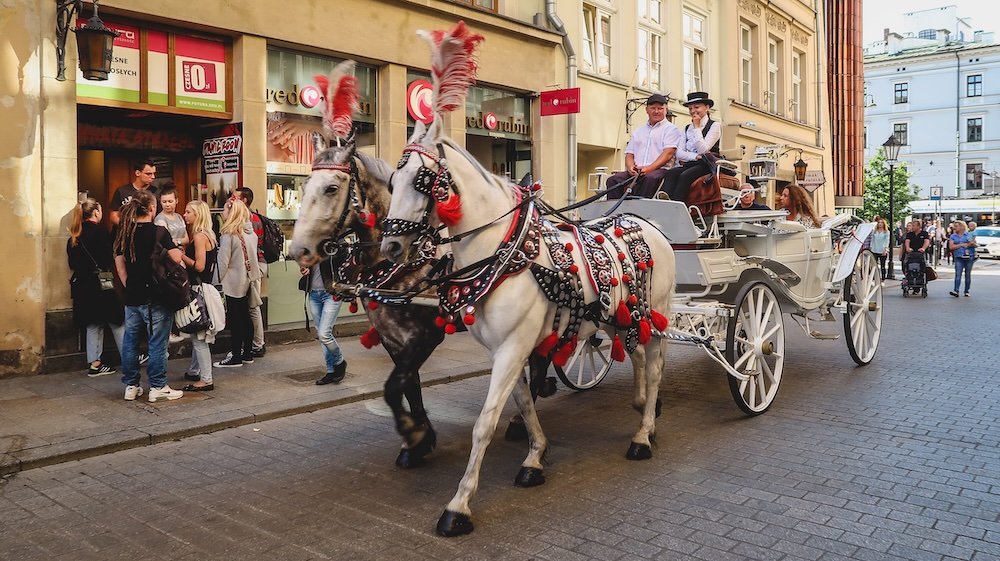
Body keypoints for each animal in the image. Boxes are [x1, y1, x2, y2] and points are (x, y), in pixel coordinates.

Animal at [378, 23, 676, 540]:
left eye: (421, 181)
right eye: (391, 182)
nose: (392, 247)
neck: (503, 251)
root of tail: (648, 221)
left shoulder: (514, 346)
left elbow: (485, 422)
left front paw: (458, 505)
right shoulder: (504, 349)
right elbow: (521, 403)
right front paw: (535, 457)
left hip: (656, 315)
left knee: (655, 366)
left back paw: (643, 436)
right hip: (621, 316)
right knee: (638, 358)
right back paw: (643, 409)